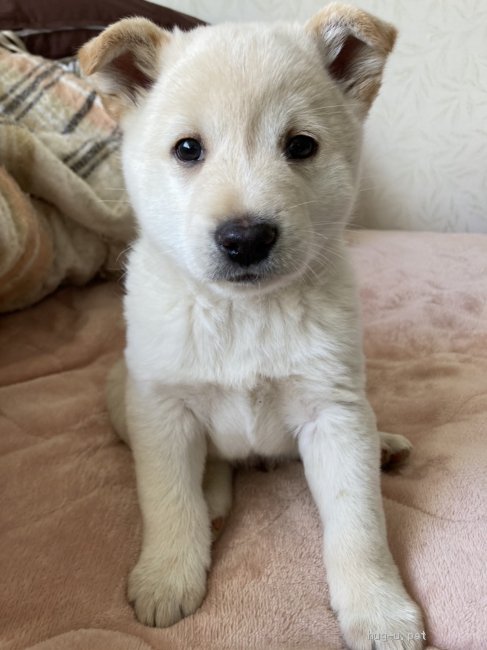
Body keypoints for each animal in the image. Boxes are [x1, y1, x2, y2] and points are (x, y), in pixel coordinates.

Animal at [80, 6, 428, 648]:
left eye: (301, 145)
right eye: (187, 148)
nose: (245, 238)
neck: (244, 312)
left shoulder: (335, 413)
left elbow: (359, 524)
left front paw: (379, 609)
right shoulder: (163, 411)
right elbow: (168, 501)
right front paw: (167, 575)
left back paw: (387, 445)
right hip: (123, 393)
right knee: (207, 470)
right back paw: (213, 503)